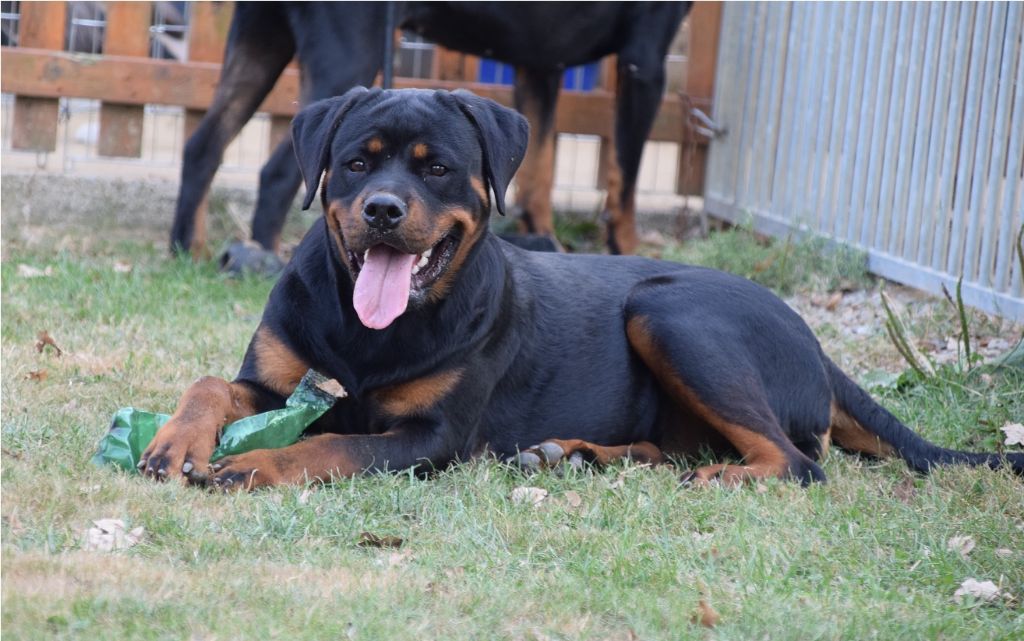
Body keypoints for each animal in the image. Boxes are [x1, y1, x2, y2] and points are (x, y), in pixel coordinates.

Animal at [140, 88, 1019, 489]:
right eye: (357, 161)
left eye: (436, 167)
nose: (383, 209)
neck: (372, 331)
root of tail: (816, 340)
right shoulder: (272, 379)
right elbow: (211, 382)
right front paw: (175, 441)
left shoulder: (431, 435)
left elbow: (330, 441)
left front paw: (258, 463)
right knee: (678, 445)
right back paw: (573, 452)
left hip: (671, 312)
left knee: (796, 461)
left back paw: (717, 476)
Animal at [172, 0, 692, 264]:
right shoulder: (645, 57)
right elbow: (625, 181)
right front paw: (627, 251)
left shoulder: (540, 64)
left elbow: (538, 171)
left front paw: (544, 243)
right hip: (349, 55)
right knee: (278, 172)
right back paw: (261, 260)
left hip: (260, 37)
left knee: (203, 145)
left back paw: (188, 251)